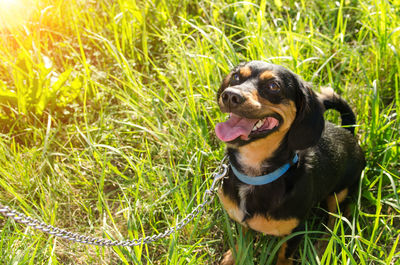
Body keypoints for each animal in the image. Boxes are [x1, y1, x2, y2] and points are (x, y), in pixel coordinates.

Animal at [216, 60, 366, 264]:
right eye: (236, 77)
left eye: (273, 86)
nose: (230, 95)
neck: (254, 175)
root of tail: (348, 131)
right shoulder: (240, 220)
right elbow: (242, 239)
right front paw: (234, 257)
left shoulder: (295, 231)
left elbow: (283, 255)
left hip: (340, 194)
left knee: (335, 221)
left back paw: (323, 248)